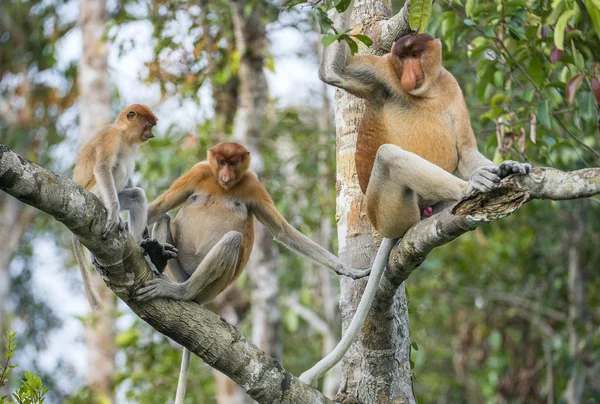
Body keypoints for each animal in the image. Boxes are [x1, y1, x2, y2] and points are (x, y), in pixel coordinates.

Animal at [73, 103, 175, 310]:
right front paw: (113, 212)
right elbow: (103, 167)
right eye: (149, 125)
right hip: (94, 192)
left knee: (137, 196)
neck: (123, 133)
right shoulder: (110, 136)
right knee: (118, 167)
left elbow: (131, 185)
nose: (152, 135)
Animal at [136, 143, 370, 404]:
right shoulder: (198, 172)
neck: (222, 187)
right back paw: (157, 257)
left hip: (212, 287)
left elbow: (282, 231)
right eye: (221, 162)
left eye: (233, 163)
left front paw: (347, 269)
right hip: (180, 270)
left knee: (232, 238)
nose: (226, 175)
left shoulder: (252, 184)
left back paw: (180, 291)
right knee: (165, 216)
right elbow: (160, 206)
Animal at [298, 4, 528, 386]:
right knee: (389, 155)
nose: (406, 74)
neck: (427, 90)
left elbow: (466, 152)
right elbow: (335, 73)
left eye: (415, 54)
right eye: (401, 57)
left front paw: (508, 164)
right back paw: (472, 188)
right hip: (389, 210)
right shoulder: (382, 74)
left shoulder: (452, 87)